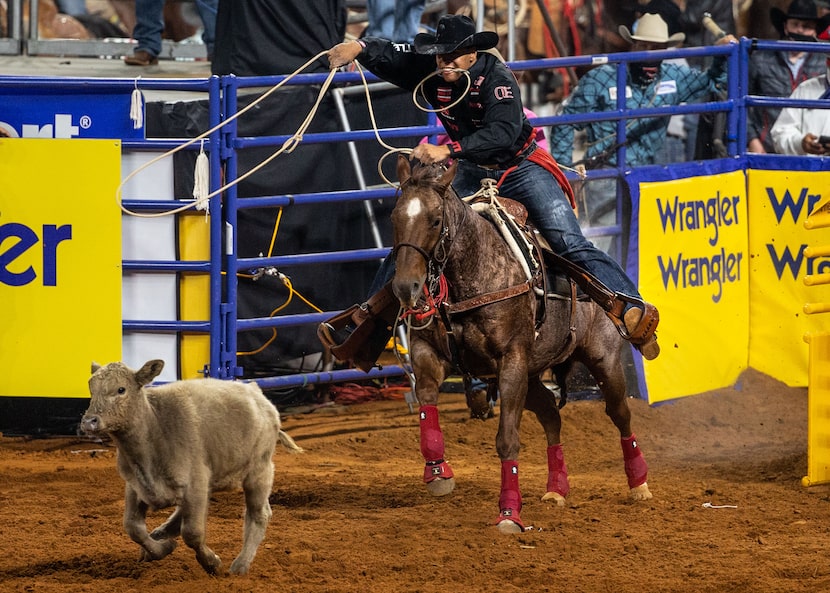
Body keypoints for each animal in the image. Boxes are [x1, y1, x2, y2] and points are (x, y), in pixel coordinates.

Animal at [394, 155, 652, 536]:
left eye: (435, 220)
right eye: (395, 218)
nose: (405, 287)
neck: (476, 271)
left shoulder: (511, 362)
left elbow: (507, 440)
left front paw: (509, 513)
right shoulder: (428, 352)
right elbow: (426, 402)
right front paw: (438, 472)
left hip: (602, 361)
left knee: (619, 414)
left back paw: (639, 483)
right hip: (531, 378)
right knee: (552, 418)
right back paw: (557, 489)